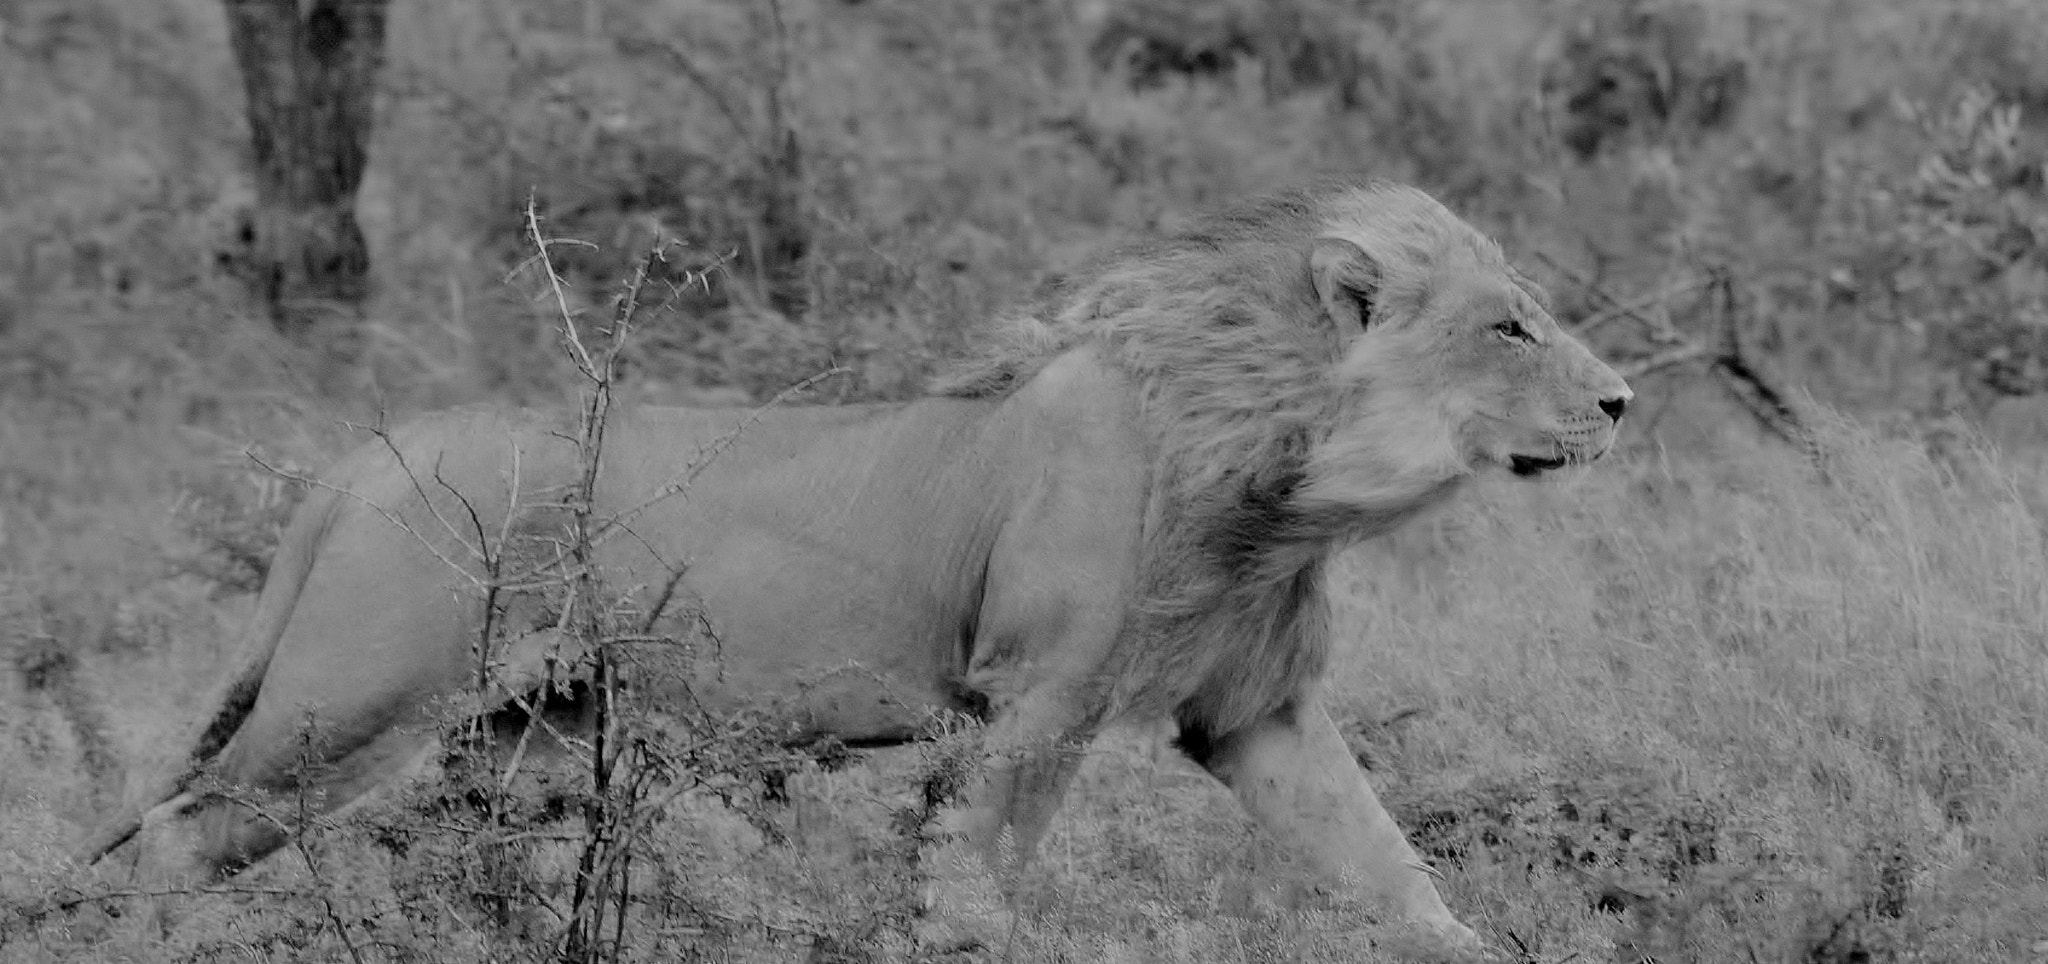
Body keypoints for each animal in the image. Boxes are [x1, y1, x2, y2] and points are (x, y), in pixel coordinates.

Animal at [83, 180, 1630, 953]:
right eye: (1509, 327)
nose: (1620, 401)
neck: (1276, 474)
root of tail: (356, 461)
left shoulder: (1255, 714)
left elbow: (1391, 870)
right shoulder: (1036, 697)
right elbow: (979, 871)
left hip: (521, 732)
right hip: (351, 699)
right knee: (178, 834)